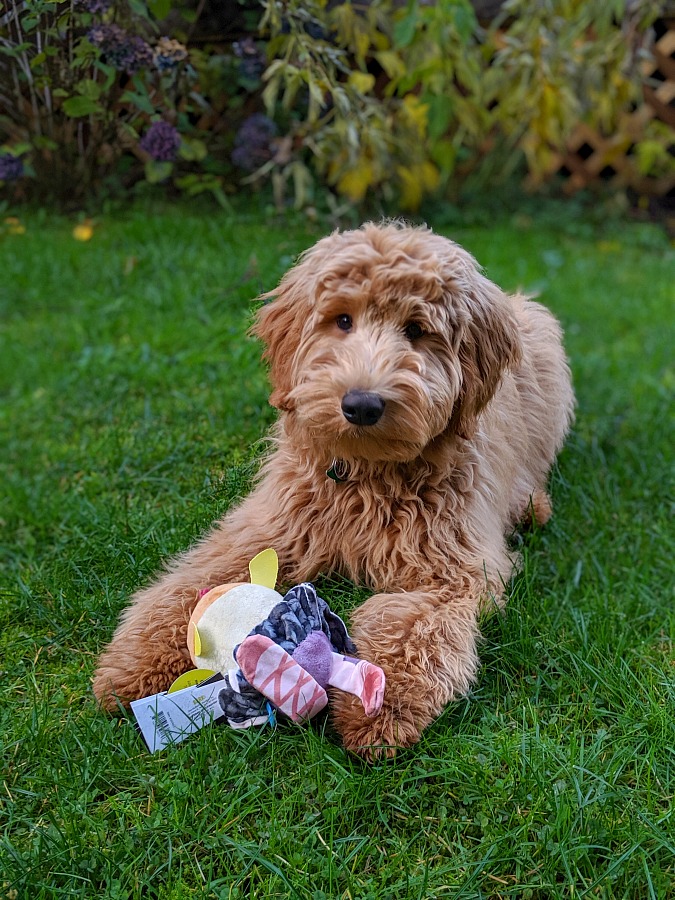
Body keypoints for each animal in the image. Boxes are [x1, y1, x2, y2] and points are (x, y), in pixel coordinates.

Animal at [92, 221, 572, 756]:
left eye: (416, 330)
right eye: (342, 320)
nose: (361, 405)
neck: (367, 474)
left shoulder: (451, 570)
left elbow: (409, 625)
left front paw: (379, 706)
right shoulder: (270, 524)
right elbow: (198, 582)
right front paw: (133, 663)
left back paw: (531, 506)